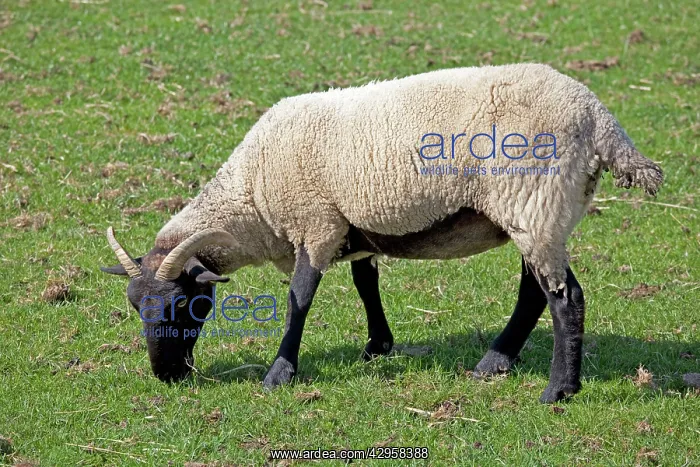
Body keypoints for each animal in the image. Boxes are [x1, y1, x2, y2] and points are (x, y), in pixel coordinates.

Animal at [101, 63, 663, 403]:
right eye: (134, 305)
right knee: (535, 292)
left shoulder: (317, 222)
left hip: (534, 201)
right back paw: (495, 362)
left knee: (565, 297)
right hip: (540, 210)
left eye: (186, 304)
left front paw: (280, 372)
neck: (252, 196)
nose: (167, 375)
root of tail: (601, 121)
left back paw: (559, 390)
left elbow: (300, 298)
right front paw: (378, 346)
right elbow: (365, 282)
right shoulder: (350, 226)